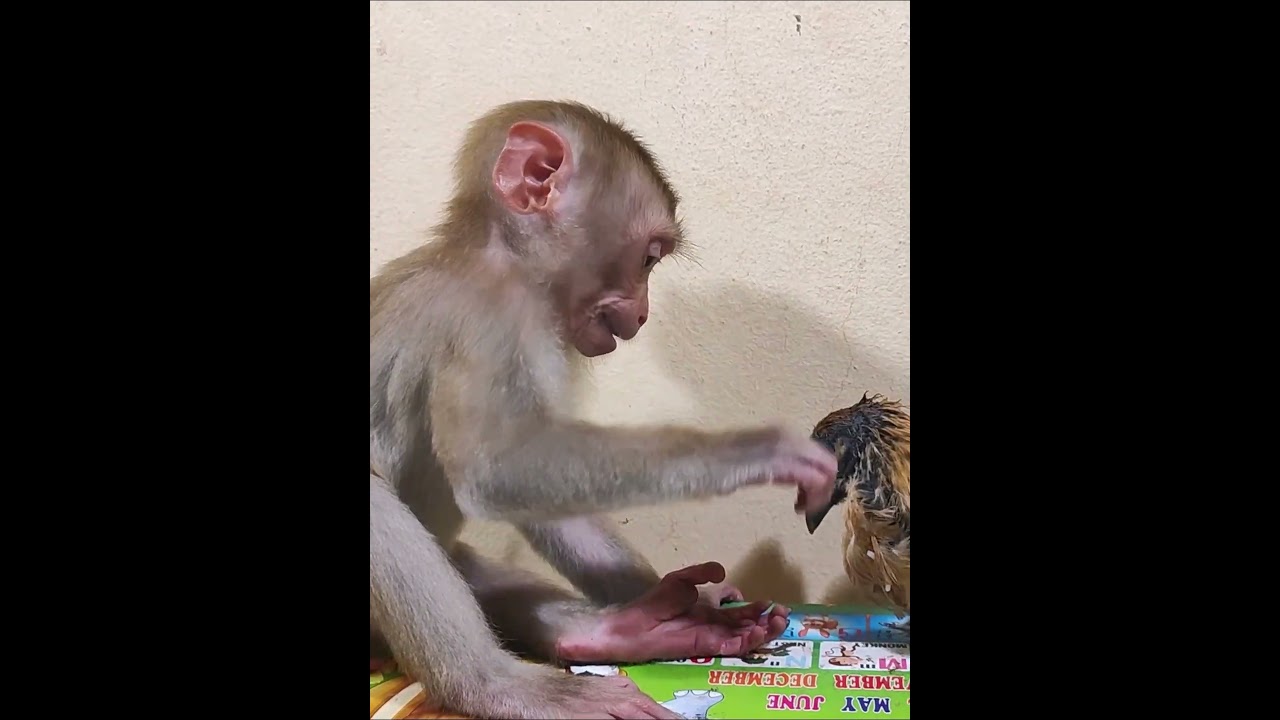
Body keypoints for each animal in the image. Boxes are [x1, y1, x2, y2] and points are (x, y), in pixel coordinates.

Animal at [370, 100, 838, 719]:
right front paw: (764, 449)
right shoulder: (488, 318)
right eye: (648, 259)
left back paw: (613, 633)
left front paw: (692, 602)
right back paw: (499, 686)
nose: (641, 314)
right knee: (377, 505)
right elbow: (499, 468)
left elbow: (541, 495)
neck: (503, 259)